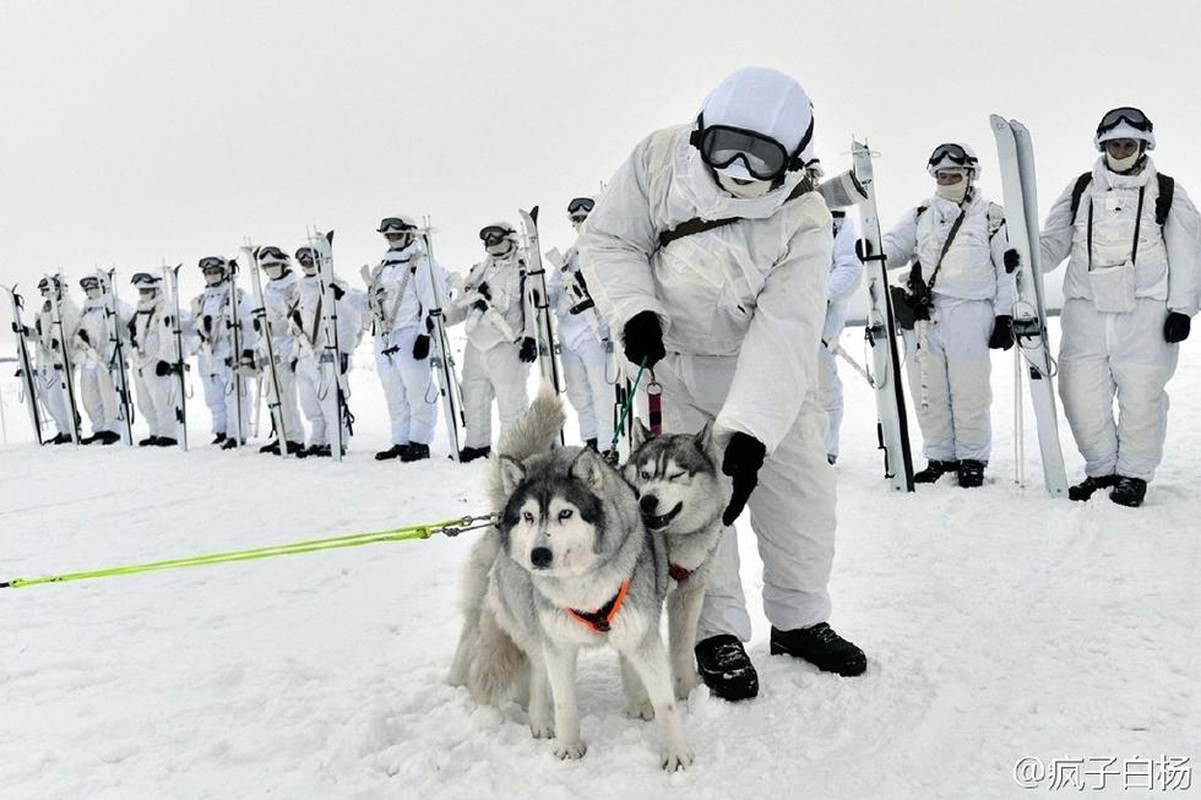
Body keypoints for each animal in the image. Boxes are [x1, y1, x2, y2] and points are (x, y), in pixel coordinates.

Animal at [451, 384, 696, 768]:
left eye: (565, 513)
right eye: (529, 516)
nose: (538, 555)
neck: (584, 586)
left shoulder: (641, 636)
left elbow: (665, 702)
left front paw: (676, 754)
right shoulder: (558, 644)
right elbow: (564, 700)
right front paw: (568, 747)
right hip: (530, 626)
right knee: (537, 672)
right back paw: (539, 719)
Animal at [624, 418, 725, 696]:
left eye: (676, 475)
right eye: (645, 474)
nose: (647, 501)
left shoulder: (688, 594)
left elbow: (681, 648)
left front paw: (688, 691)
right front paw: (642, 702)